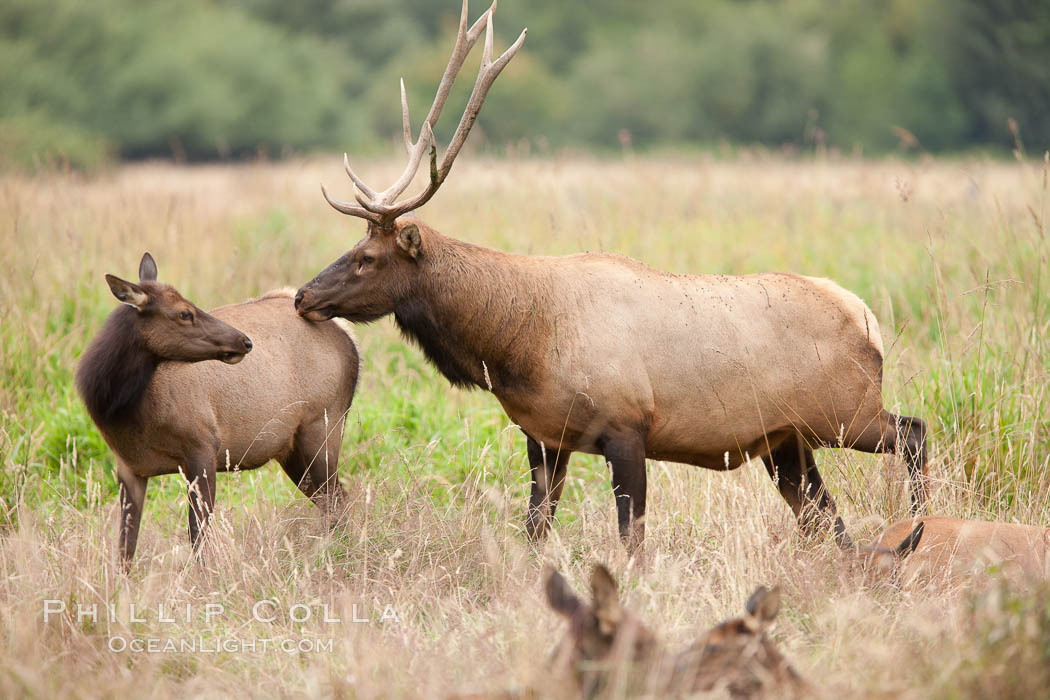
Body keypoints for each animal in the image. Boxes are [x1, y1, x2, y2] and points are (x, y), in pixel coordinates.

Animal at [75, 252, 361, 570]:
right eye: (184, 313)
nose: (244, 341)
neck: (120, 409)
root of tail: (348, 337)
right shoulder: (129, 467)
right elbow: (126, 548)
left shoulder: (202, 447)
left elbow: (197, 535)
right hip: (291, 448)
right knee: (332, 502)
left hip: (322, 428)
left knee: (339, 501)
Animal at [296, 0, 928, 554]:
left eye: (367, 257)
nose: (303, 295)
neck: (518, 345)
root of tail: (867, 318)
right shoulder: (545, 439)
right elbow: (535, 529)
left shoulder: (627, 428)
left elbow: (631, 537)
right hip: (786, 441)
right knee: (826, 517)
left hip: (845, 411)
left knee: (914, 433)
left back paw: (918, 528)